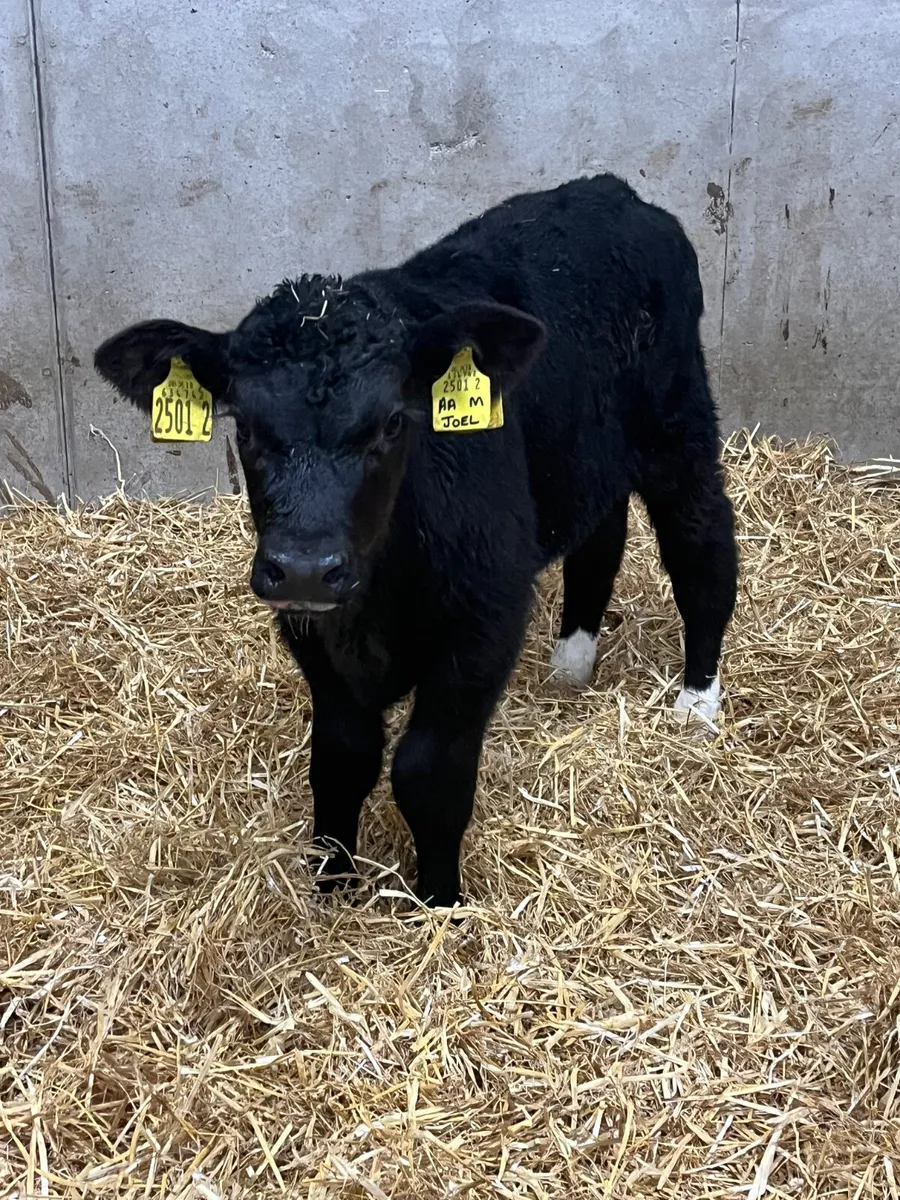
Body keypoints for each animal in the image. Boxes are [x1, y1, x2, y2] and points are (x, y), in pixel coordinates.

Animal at [94, 174, 738, 909]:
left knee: (702, 547)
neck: (379, 596)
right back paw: (571, 666)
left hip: (678, 428)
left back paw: (698, 701)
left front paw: (440, 900)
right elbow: (342, 757)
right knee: (599, 540)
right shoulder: (310, 631)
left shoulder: (484, 622)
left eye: (392, 424)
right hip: (584, 454)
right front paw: (332, 883)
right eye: (247, 429)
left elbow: (427, 773)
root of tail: (609, 189)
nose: (307, 567)